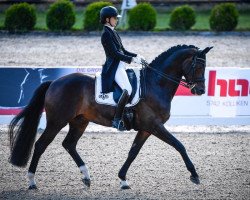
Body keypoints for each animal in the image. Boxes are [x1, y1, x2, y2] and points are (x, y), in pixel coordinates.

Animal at [9, 44, 213, 190]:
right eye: (198, 65)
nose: (200, 90)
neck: (155, 84)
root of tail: (54, 83)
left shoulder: (146, 128)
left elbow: (133, 152)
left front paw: (123, 180)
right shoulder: (154, 126)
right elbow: (179, 145)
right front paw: (194, 175)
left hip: (80, 121)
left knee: (69, 144)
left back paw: (86, 177)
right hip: (56, 121)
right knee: (40, 145)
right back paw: (32, 182)